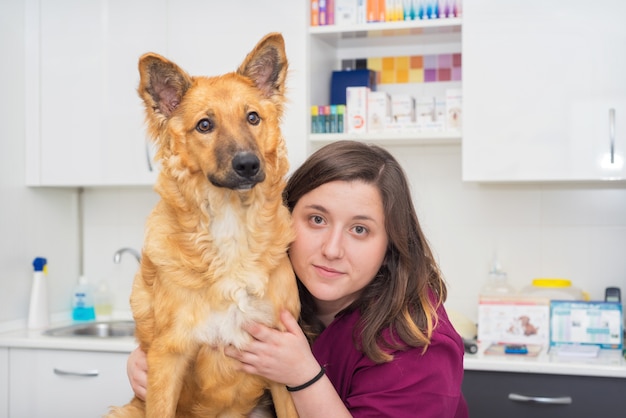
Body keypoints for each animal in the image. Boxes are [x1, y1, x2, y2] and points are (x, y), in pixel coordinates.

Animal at [106, 34, 300, 418]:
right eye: (205, 125)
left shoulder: (280, 360)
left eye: (253, 118)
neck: (232, 224)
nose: (248, 165)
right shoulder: (168, 357)